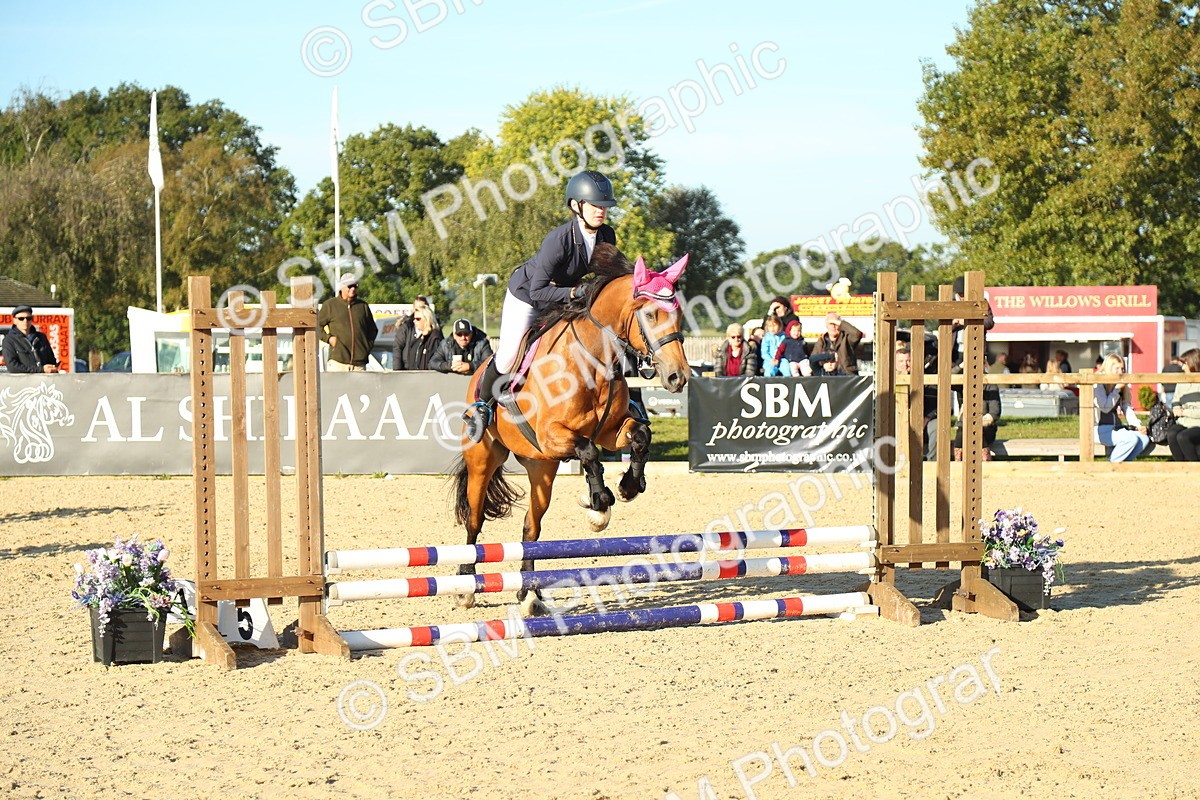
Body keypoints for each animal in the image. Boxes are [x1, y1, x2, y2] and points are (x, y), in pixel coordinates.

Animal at [451, 243, 690, 615]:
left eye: (677, 316)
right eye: (650, 315)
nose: (678, 377)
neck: (592, 359)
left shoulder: (609, 432)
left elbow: (638, 437)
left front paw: (627, 487)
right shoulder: (553, 435)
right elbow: (589, 452)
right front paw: (599, 502)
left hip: (542, 468)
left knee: (531, 529)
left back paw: (530, 594)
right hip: (483, 460)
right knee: (475, 520)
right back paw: (465, 587)